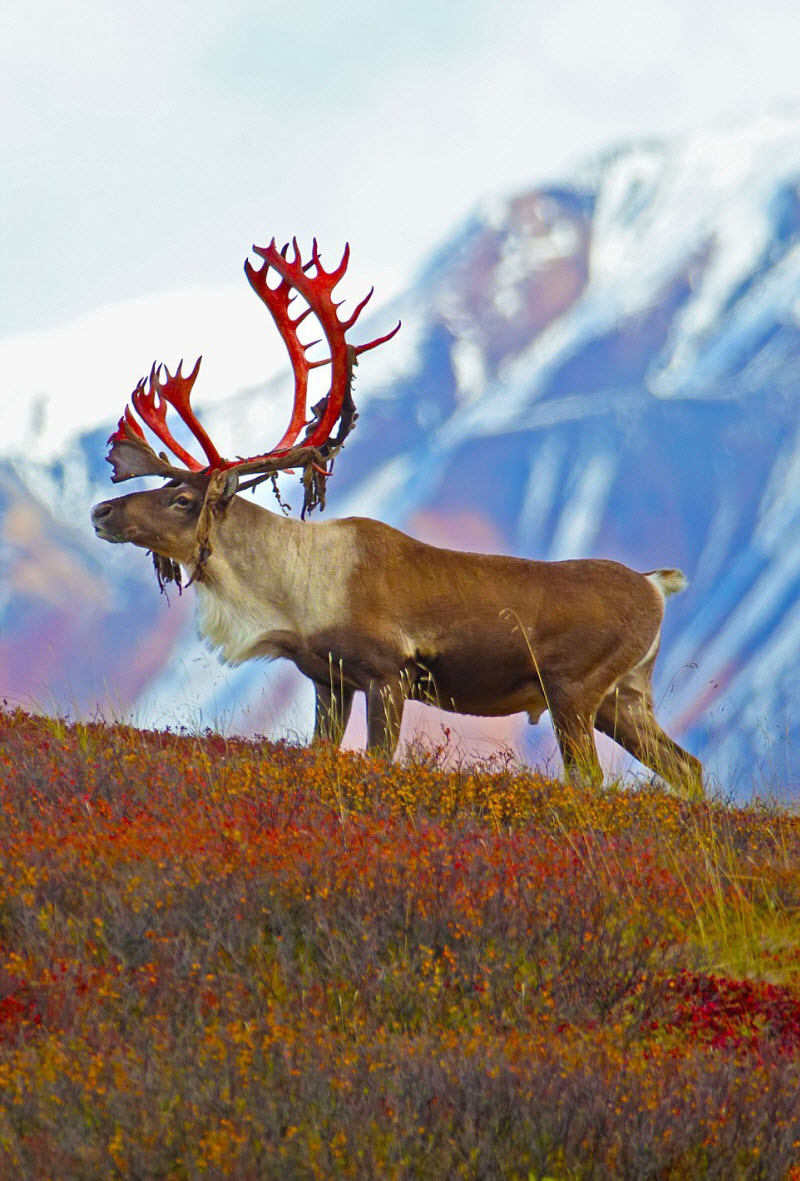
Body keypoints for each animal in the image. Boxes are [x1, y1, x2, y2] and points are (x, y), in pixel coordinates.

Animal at [91, 237, 703, 796]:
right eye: (166, 484)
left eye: (182, 500)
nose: (101, 510)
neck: (288, 594)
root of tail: (656, 586)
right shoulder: (328, 680)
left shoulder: (389, 674)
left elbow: (380, 758)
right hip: (624, 698)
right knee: (688, 767)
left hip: (572, 689)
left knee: (593, 779)